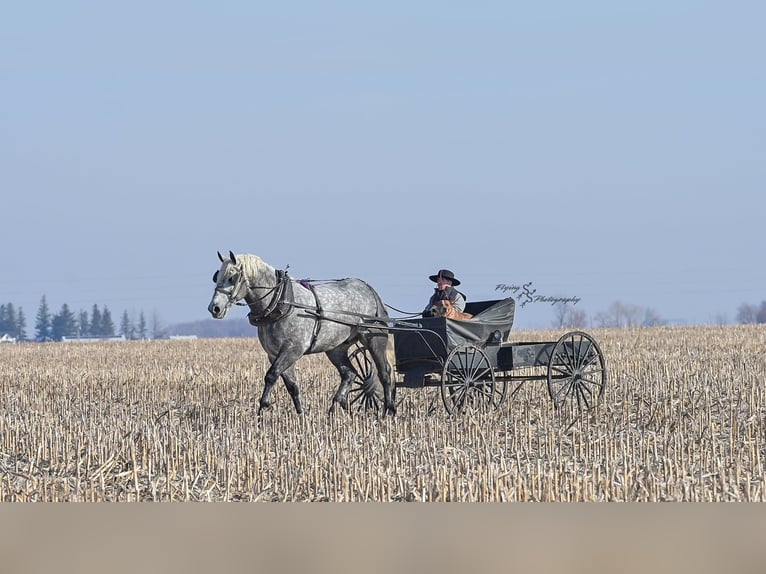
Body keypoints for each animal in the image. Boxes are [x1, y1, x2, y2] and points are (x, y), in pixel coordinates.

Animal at [207, 251, 396, 416]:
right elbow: (292, 385)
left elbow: (271, 376)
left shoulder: (293, 349)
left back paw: (389, 410)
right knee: (349, 374)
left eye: (232, 277)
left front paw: (262, 410)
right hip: (336, 348)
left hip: (375, 339)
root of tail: (370, 290)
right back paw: (334, 410)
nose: (214, 308)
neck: (279, 301)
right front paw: (301, 414)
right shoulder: (274, 353)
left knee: (385, 372)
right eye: (217, 276)